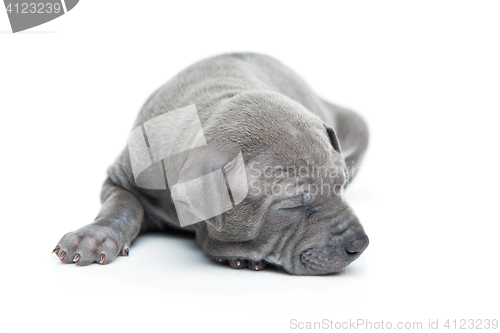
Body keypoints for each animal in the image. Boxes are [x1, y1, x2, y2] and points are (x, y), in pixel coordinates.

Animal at [52, 52, 370, 274]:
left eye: (340, 185)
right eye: (292, 206)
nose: (361, 244)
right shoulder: (124, 176)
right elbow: (123, 205)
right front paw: (92, 236)